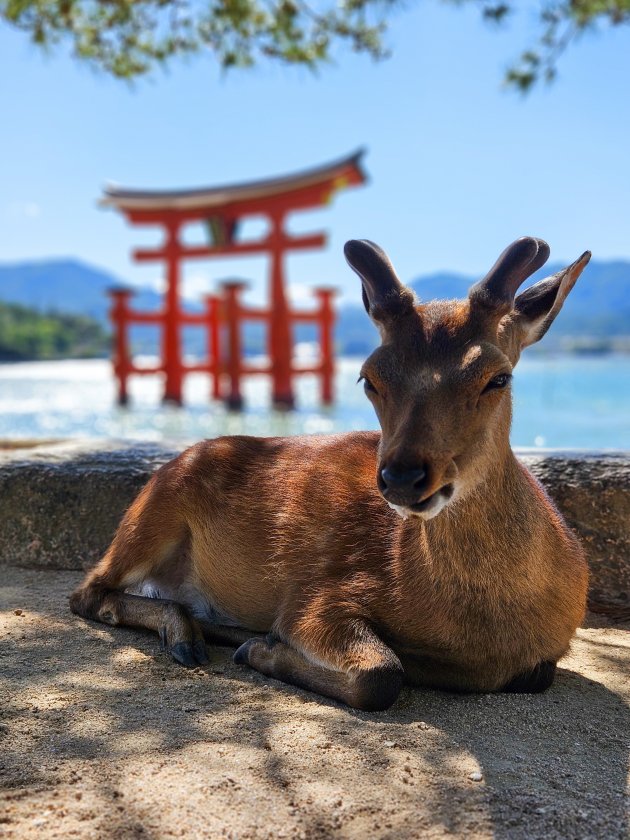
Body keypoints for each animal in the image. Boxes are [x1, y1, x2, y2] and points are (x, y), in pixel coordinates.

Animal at [70, 236, 592, 708]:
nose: (402, 477)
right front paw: (261, 648)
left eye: (498, 377)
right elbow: (381, 675)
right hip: (151, 514)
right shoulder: (321, 594)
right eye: (368, 378)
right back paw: (189, 636)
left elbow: (537, 674)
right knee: (87, 592)